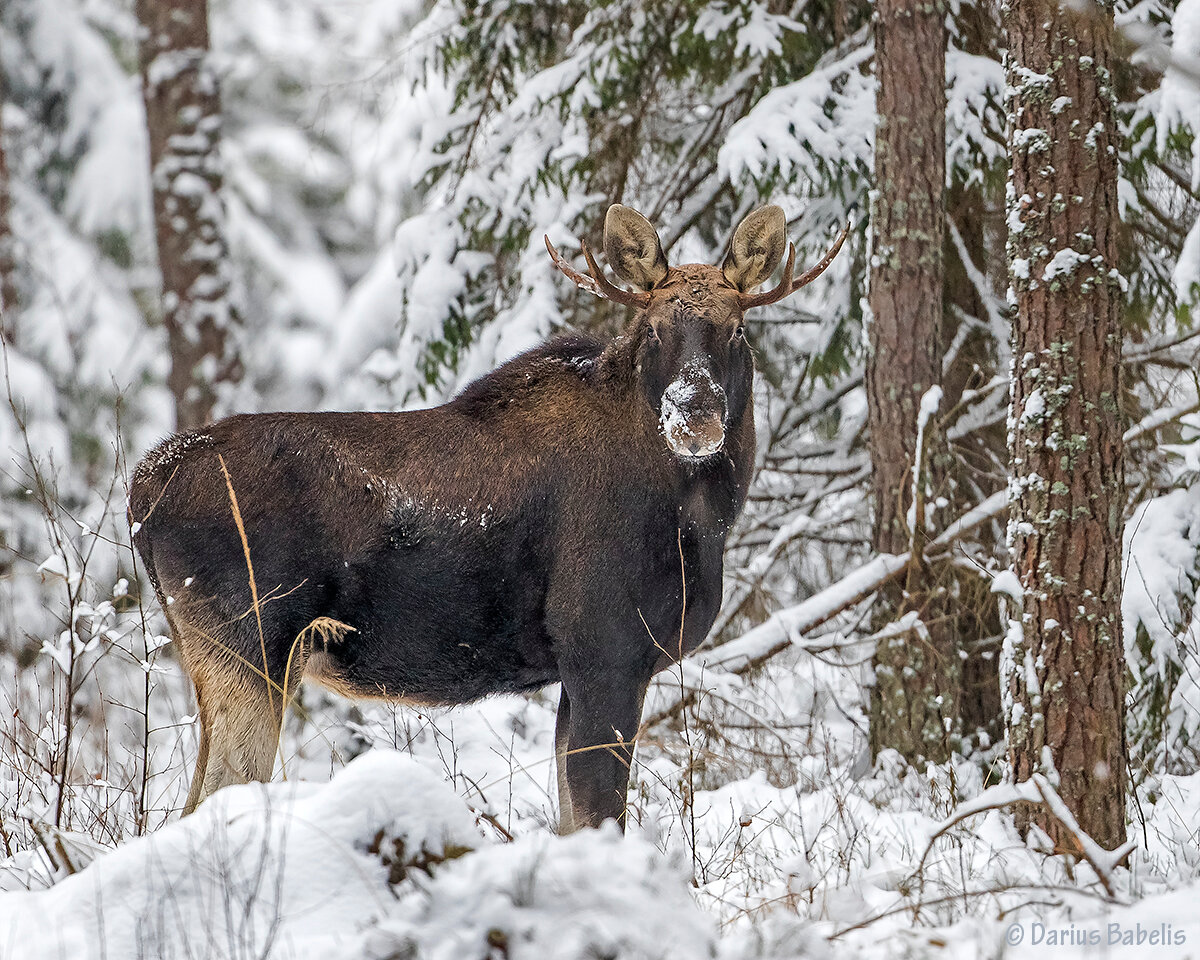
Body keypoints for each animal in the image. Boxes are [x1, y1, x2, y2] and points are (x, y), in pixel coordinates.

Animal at [128, 203, 847, 831]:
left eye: (737, 329)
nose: (694, 415)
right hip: (249, 643)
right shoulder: (605, 650)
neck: (700, 519)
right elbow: (599, 817)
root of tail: (142, 491)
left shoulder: (583, 671)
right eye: (655, 330)